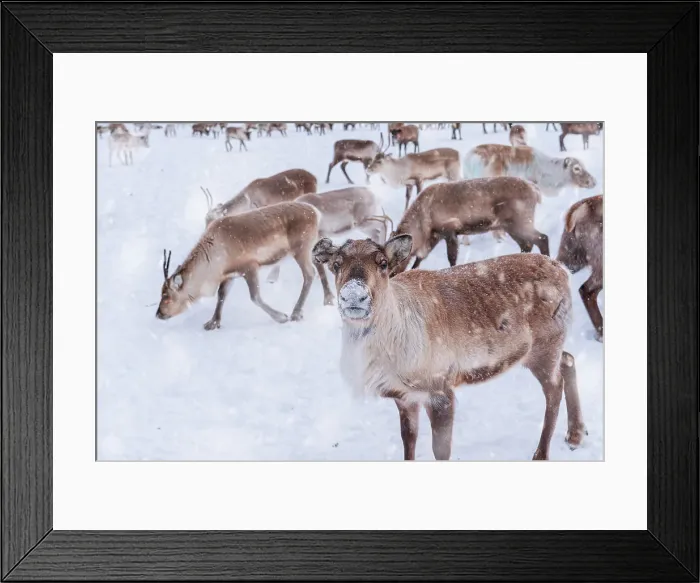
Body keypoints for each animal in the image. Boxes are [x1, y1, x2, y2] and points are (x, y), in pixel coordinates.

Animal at [156, 202, 331, 330]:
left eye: (167, 297)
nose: (158, 314)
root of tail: (316, 212)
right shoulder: (229, 275)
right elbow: (221, 295)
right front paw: (213, 322)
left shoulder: (250, 267)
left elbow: (255, 297)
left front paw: (281, 317)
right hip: (310, 247)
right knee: (318, 266)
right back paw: (328, 299)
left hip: (301, 248)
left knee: (309, 273)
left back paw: (296, 313)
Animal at [311, 235, 587, 461]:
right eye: (336, 264)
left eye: (383, 263)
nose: (353, 296)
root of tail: (563, 271)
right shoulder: (404, 397)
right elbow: (408, 441)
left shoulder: (440, 390)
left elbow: (440, 451)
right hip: (549, 347)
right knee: (569, 360)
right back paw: (575, 435)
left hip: (544, 348)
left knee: (554, 389)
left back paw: (541, 454)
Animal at [388, 176, 549, 273]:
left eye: (393, 261)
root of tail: (536, 192)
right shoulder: (436, 236)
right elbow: (419, 259)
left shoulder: (449, 230)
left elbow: (452, 258)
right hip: (510, 227)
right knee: (527, 245)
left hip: (520, 222)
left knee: (542, 238)